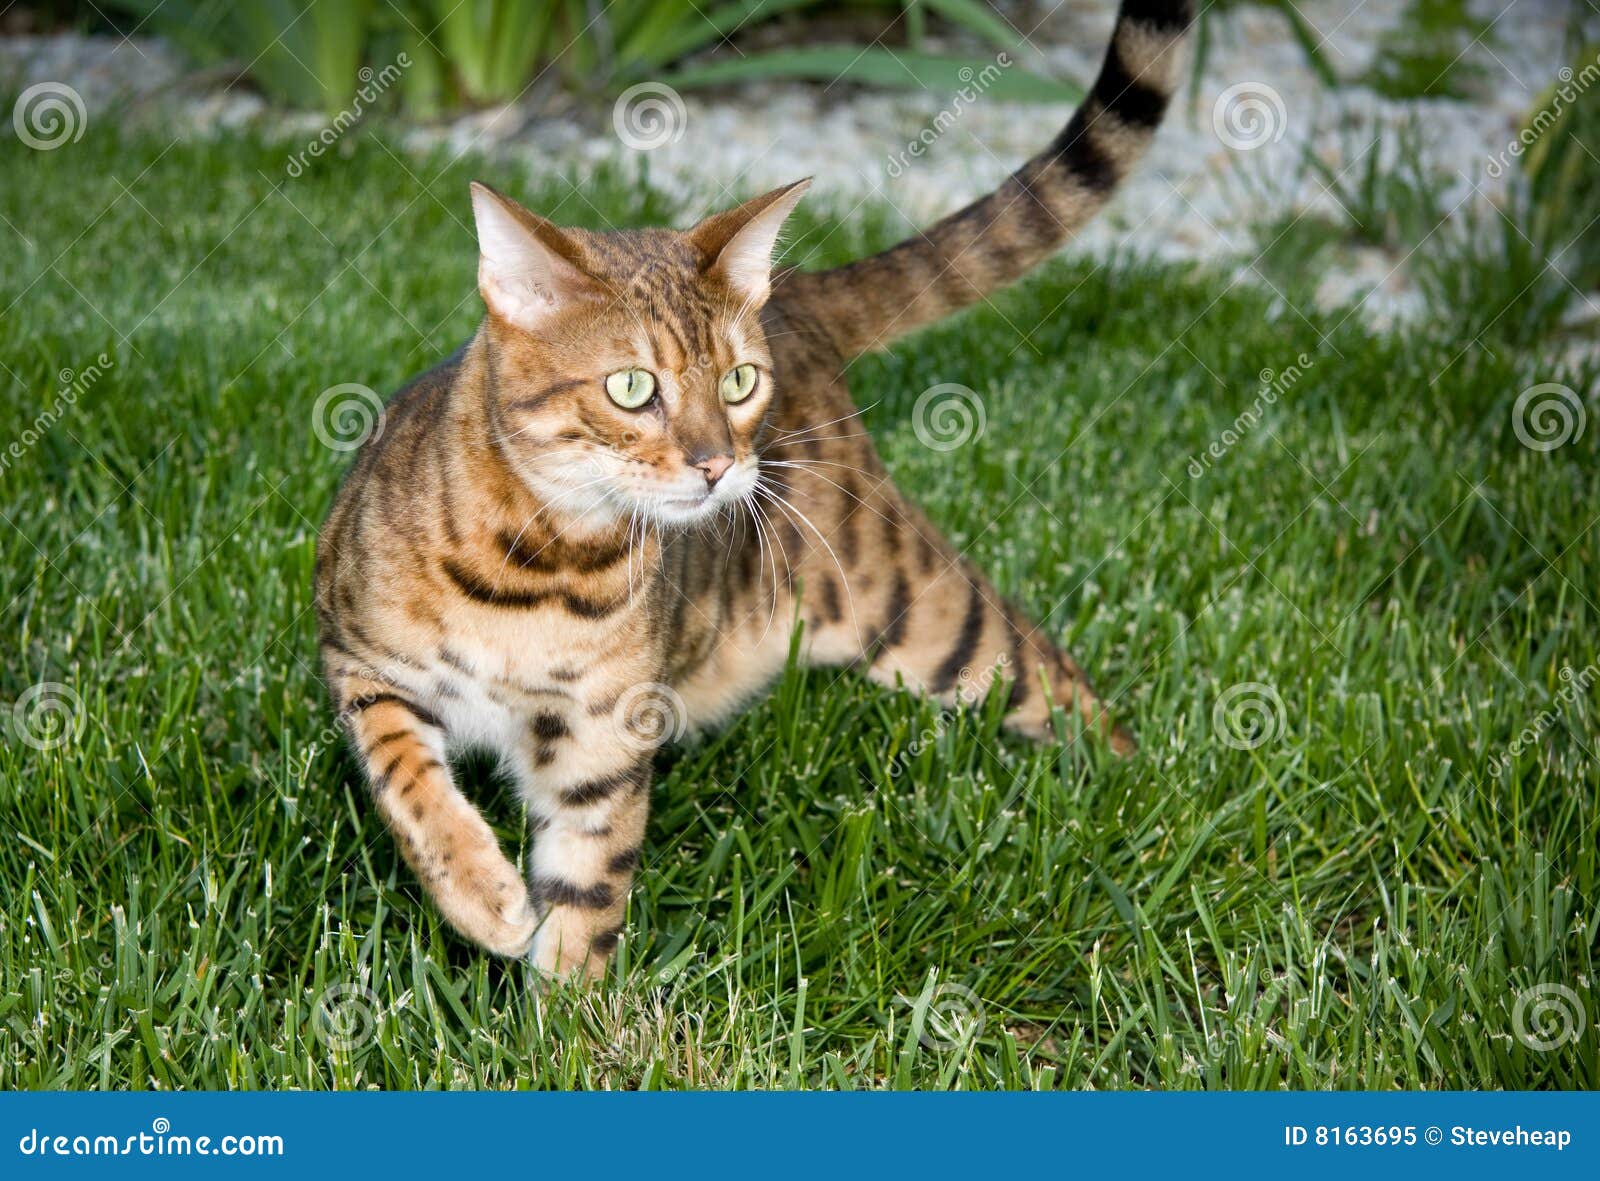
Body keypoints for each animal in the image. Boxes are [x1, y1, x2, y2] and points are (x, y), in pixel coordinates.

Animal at [315, 0, 1190, 972]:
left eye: (738, 382)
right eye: (632, 387)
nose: (717, 462)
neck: (541, 569)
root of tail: (796, 294)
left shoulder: (604, 740)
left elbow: (586, 891)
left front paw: (566, 1001)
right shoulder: (355, 657)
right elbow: (405, 776)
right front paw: (481, 894)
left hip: (926, 613)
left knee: (1060, 680)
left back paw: (1149, 792)